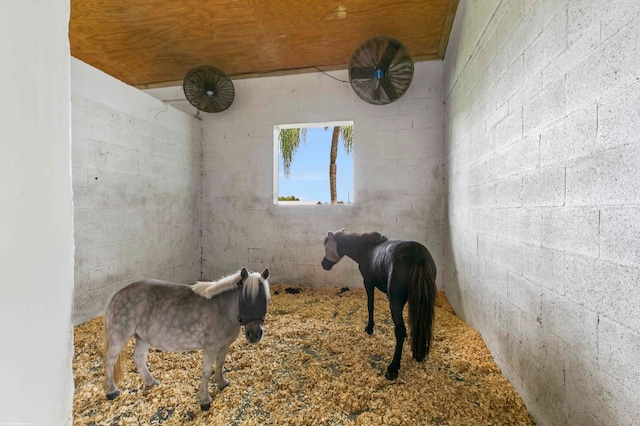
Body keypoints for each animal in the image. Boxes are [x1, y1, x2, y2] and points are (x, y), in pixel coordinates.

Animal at [102, 268, 270, 412]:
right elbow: (206, 372)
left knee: (139, 358)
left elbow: (220, 364)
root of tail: (117, 294)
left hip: (143, 337)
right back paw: (111, 391)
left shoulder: (224, 346)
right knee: (110, 359)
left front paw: (221, 382)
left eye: (266, 300)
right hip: (119, 337)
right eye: (244, 299)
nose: (254, 335)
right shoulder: (210, 348)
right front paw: (205, 400)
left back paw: (151, 382)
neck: (223, 310)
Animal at [322, 230, 438, 380]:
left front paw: (369, 327)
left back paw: (393, 368)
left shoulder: (368, 282)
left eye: (327, 248)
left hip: (395, 302)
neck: (367, 248)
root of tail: (418, 256)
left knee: (400, 330)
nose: (323, 264)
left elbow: (370, 305)